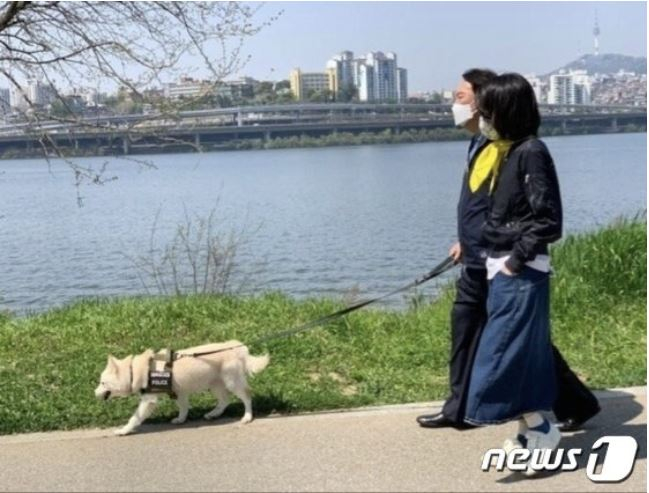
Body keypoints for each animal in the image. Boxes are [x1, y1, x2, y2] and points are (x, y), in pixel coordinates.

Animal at [93, 342, 268, 434]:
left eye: (102, 383)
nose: (94, 394)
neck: (134, 370)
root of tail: (238, 347)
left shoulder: (148, 400)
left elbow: (135, 417)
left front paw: (124, 430)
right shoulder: (179, 392)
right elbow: (183, 407)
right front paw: (181, 419)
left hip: (232, 382)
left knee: (247, 396)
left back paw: (247, 417)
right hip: (214, 384)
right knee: (224, 400)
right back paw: (213, 414)